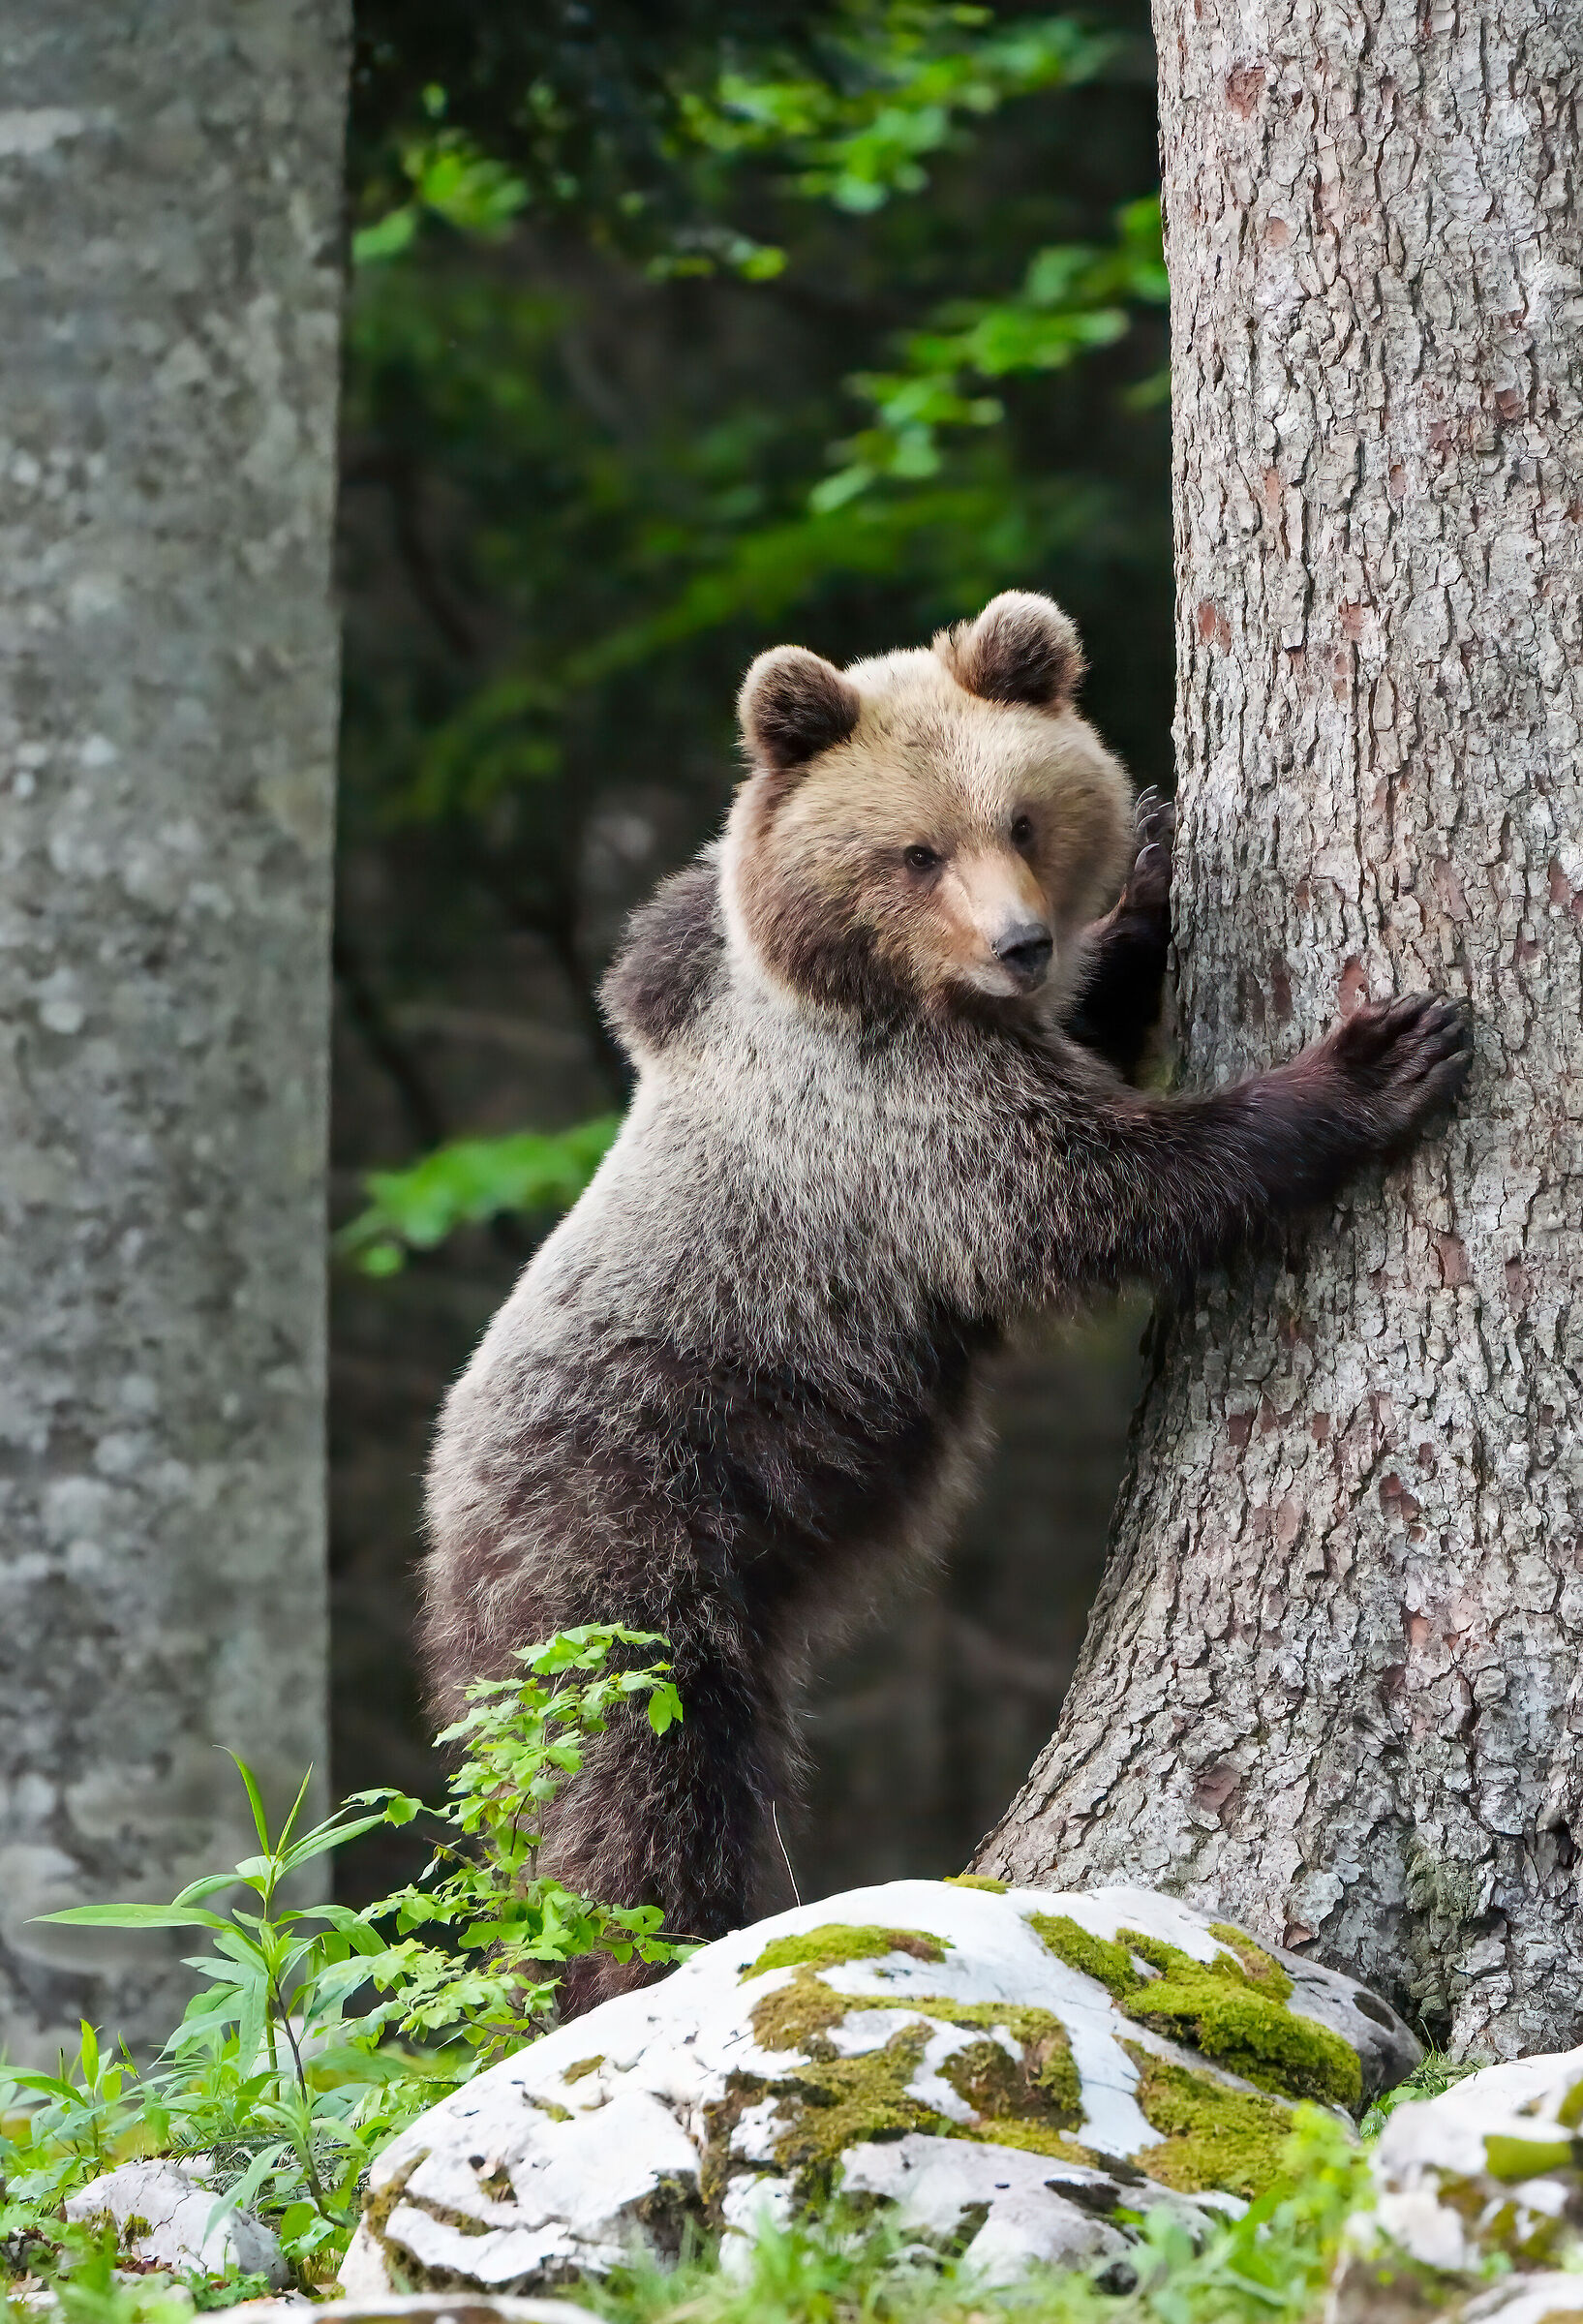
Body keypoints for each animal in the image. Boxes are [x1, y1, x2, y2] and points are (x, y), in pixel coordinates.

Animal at [421, 590, 1472, 2017]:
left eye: (1021, 819)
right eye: (915, 851)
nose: (1019, 941)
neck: (882, 985)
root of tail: (445, 1524)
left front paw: (1150, 865)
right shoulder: (892, 1120)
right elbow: (1085, 1196)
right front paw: (1374, 1062)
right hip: (620, 1528)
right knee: (631, 1778)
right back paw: (647, 1955)